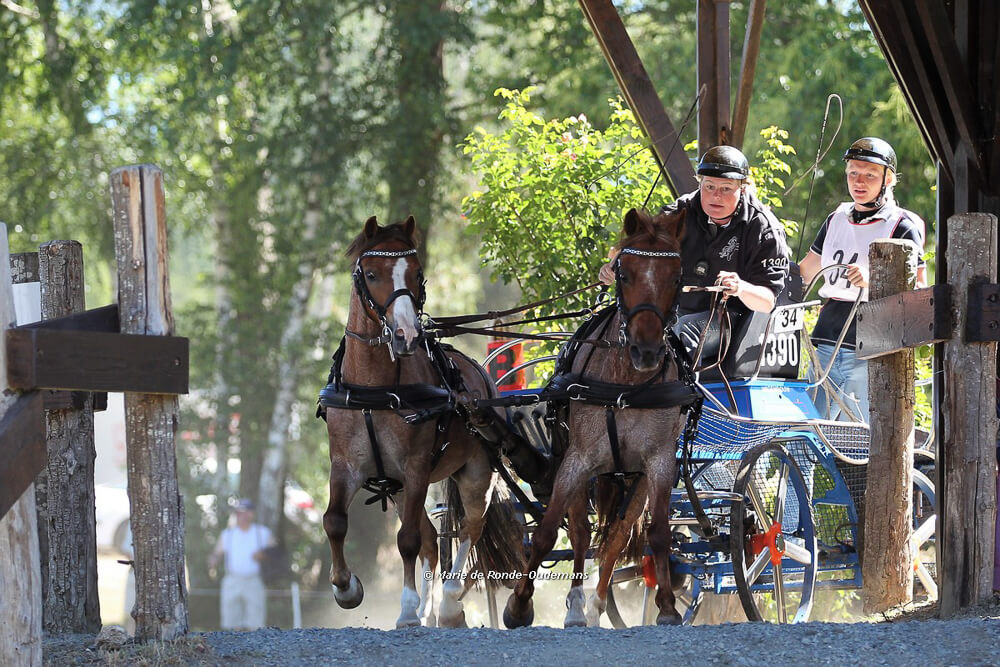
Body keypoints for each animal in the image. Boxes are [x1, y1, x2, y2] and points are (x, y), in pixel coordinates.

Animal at [320, 217, 524, 628]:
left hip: (475, 472)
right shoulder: (346, 465)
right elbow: (334, 521)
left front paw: (407, 610)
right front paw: (347, 588)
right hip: (399, 490)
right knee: (432, 540)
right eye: (371, 273)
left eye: (416, 273)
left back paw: (447, 603)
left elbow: (408, 541)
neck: (376, 389)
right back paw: (430, 611)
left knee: (469, 528)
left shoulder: (414, 468)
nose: (406, 335)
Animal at [504, 207, 692, 628]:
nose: (646, 351)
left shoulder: (658, 463)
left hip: (631, 481)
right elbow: (546, 534)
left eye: (676, 277)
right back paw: (575, 606)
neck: (625, 386)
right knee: (579, 532)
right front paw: (519, 605)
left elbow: (656, 533)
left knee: (616, 537)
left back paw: (595, 605)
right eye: (624, 273)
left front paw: (667, 606)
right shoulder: (578, 459)